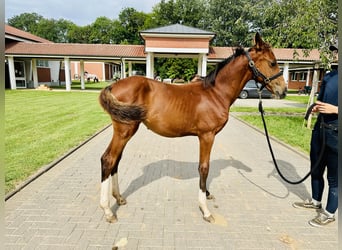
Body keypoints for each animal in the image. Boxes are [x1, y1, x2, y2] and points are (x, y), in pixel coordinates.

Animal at [98, 32, 286, 223]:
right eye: (272, 63)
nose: (283, 90)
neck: (216, 93)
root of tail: (112, 86)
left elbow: (203, 167)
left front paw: (207, 194)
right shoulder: (207, 135)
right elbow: (204, 167)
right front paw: (205, 210)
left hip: (126, 131)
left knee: (116, 160)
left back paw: (119, 198)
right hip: (125, 130)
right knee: (108, 159)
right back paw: (107, 210)